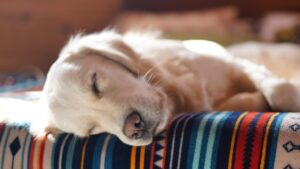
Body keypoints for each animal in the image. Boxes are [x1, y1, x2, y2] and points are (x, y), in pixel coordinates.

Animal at [43, 30, 300, 145]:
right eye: (91, 130)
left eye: (95, 83)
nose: (133, 128)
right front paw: (253, 99)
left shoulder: (233, 64)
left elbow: (277, 90)